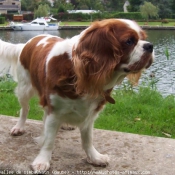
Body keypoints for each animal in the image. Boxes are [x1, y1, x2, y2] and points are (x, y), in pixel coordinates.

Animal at [0, 19, 153, 172]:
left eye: (143, 38)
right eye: (129, 41)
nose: (150, 46)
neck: (82, 75)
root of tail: (26, 43)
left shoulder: (89, 114)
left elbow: (88, 140)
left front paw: (94, 157)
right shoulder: (54, 110)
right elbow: (49, 140)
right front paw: (42, 160)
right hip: (24, 89)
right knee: (25, 109)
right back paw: (19, 127)